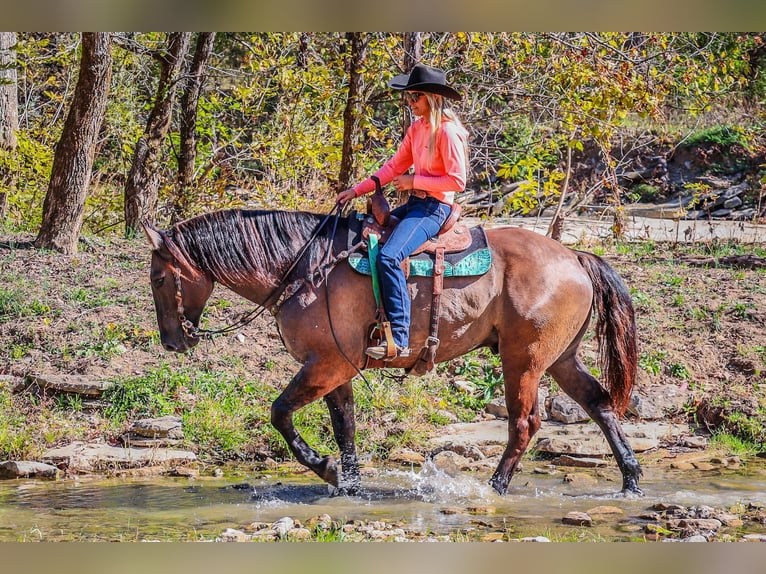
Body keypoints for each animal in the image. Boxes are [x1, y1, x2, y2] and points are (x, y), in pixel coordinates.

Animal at [142, 208, 642, 497]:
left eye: (159, 278)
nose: (171, 341)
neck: (306, 268)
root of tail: (574, 256)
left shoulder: (324, 365)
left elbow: (280, 413)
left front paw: (324, 468)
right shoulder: (337, 369)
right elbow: (344, 426)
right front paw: (348, 483)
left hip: (524, 360)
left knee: (525, 423)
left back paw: (495, 487)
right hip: (561, 358)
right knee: (600, 404)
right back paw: (631, 480)